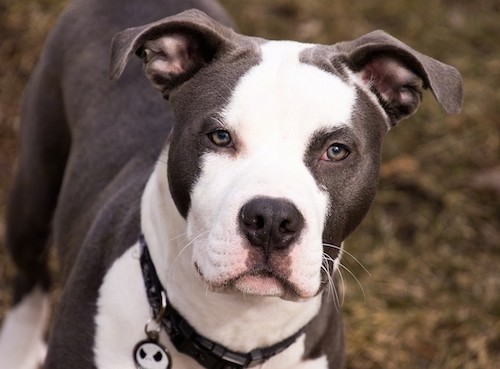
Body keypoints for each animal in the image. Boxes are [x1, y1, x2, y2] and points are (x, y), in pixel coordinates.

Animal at [0, 0, 462, 366]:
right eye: (220, 137)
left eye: (336, 150)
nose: (272, 219)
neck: (236, 328)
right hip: (35, 184)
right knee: (30, 273)